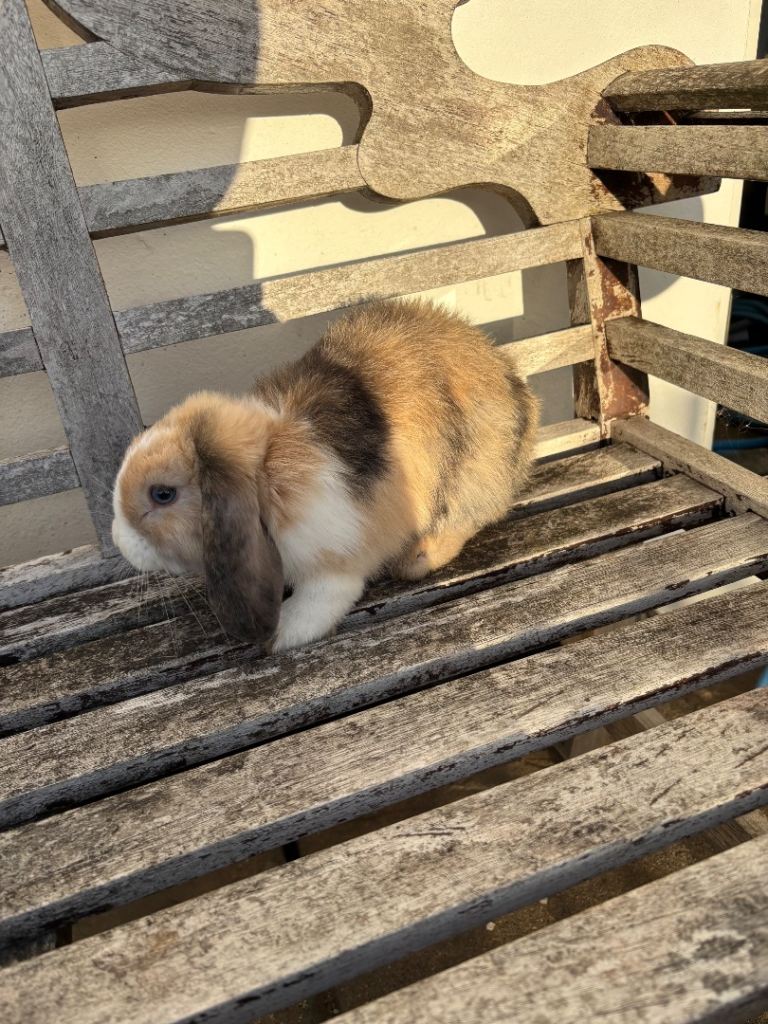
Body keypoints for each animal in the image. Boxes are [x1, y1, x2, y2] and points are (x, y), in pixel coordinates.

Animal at [111, 298, 539, 651]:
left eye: (162, 494)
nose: (118, 541)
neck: (270, 473)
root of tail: (512, 378)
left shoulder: (336, 556)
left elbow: (320, 599)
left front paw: (284, 634)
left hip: (474, 477)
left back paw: (419, 557)